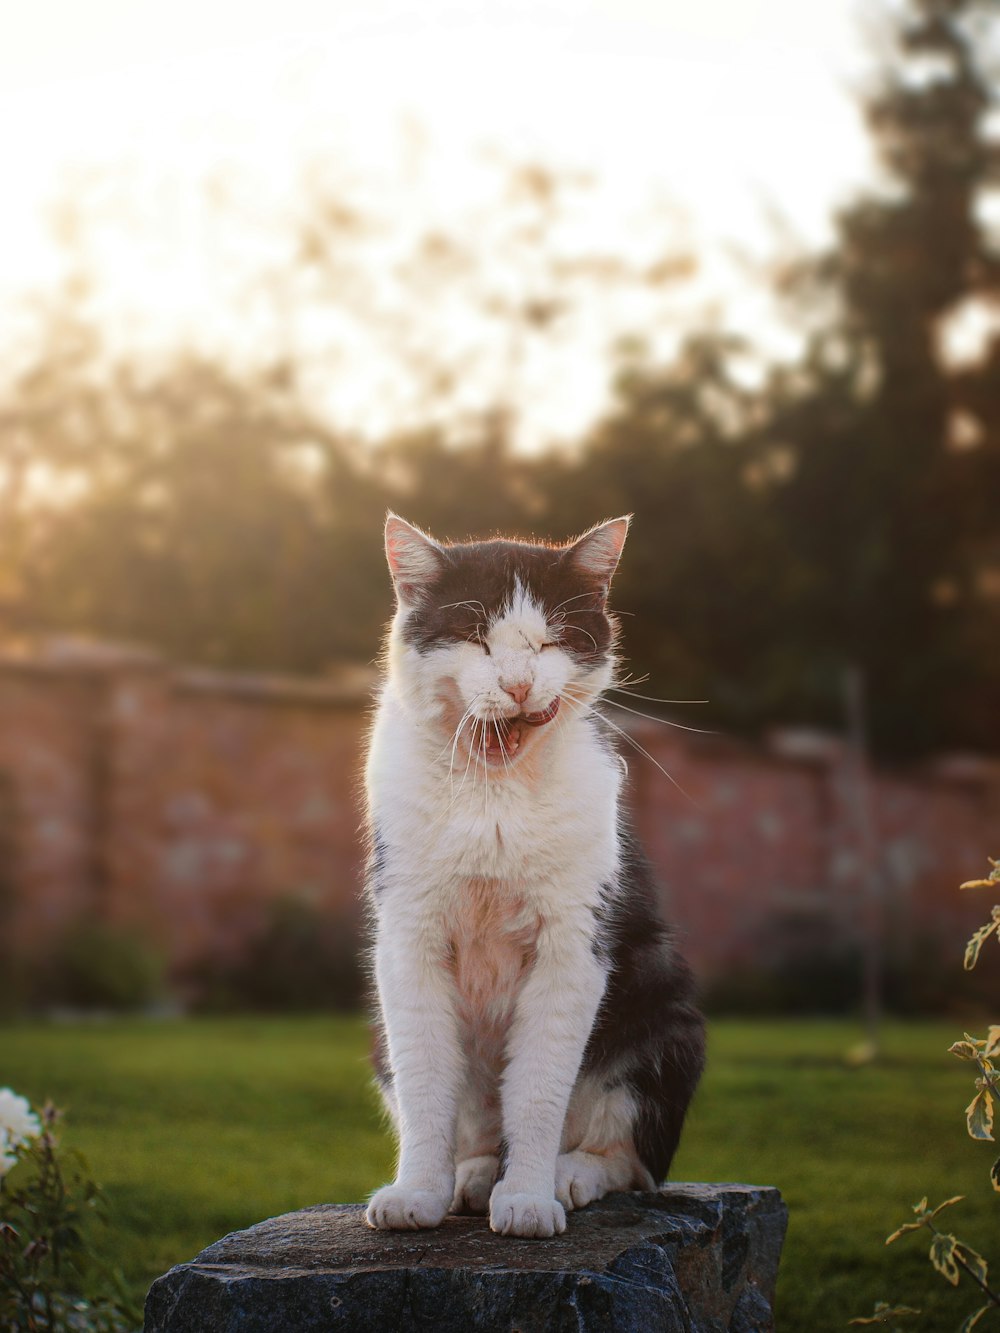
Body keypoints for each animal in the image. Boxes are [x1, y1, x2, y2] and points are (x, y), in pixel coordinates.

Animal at [362, 517, 704, 1237]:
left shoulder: (571, 946)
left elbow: (540, 1090)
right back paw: (470, 1179)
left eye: (550, 640)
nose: (519, 684)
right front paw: (417, 1192)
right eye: (477, 637)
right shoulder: (406, 938)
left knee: (629, 1161)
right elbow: (425, 1080)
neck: (496, 788)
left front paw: (526, 1198)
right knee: (466, 1120)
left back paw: (566, 1176)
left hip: (668, 1022)